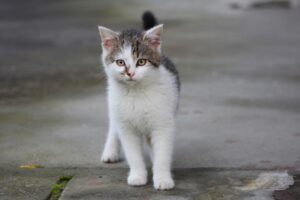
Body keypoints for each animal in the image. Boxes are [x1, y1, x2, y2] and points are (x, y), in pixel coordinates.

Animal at [97, 11, 179, 191]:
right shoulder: (126, 127)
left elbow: (162, 152)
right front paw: (137, 176)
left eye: (141, 61)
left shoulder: (162, 123)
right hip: (115, 106)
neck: (136, 93)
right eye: (120, 62)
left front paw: (162, 178)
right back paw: (110, 152)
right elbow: (133, 154)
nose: (130, 73)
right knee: (113, 126)